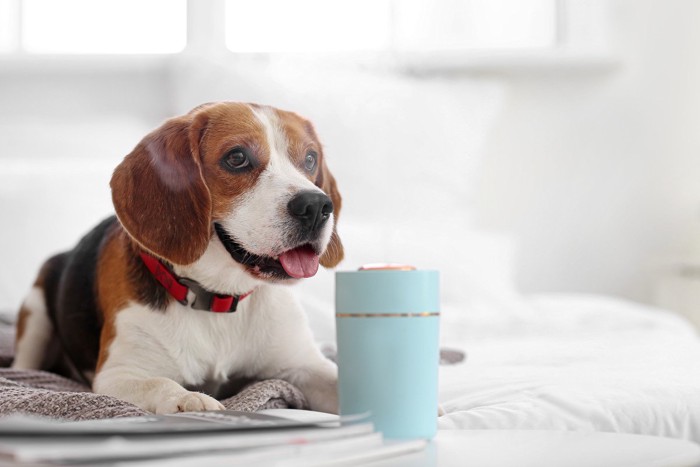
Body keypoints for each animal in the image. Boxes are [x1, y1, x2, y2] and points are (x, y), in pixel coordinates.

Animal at [13, 101, 344, 414]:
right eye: (237, 158)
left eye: (310, 159)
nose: (316, 206)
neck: (219, 300)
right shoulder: (117, 374)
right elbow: (160, 382)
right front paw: (190, 399)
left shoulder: (304, 365)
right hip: (36, 314)